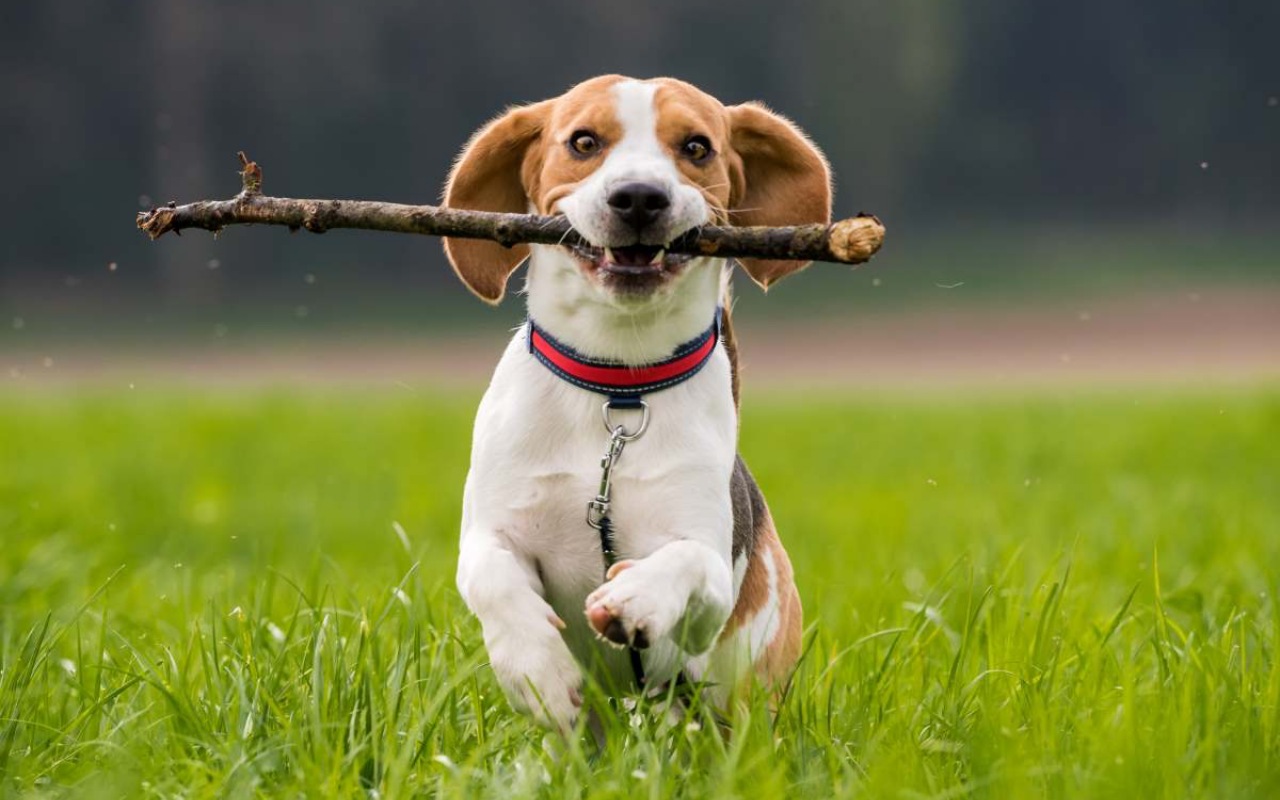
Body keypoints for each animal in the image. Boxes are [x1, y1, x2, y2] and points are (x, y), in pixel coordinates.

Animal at [445, 74, 834, 732]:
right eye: (583, 141)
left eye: (697, 147)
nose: (638, 197)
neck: (617, 391)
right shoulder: (490, 531)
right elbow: (493, 576)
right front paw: (538, 672)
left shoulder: (709, 575)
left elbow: (687, 563)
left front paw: (634, 598)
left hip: (742, 693)